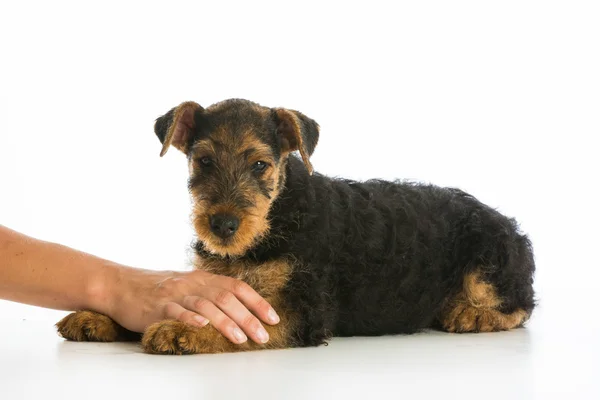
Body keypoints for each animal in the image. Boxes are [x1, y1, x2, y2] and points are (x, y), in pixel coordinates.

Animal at [55, 99, 536, 354]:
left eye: (260, 165)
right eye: (203, 161)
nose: (223, 226)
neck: (275, 218)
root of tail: (510, 224)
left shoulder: (301, 311)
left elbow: (237, 329)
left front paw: (182, 330)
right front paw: (96, 318)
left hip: (489, 260)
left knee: (520, 306)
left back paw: (469, 313)